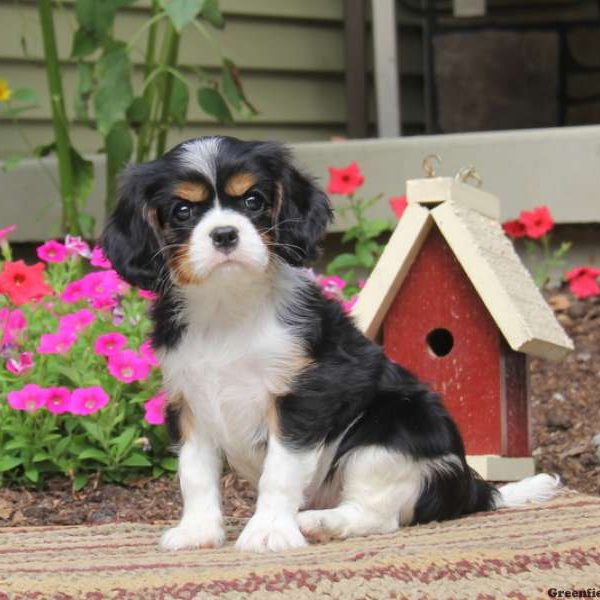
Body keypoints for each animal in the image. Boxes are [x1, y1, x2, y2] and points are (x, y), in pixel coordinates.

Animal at [102, 136, 556, 552]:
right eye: (182, 210)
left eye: (253, 200)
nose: (225, 234)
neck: (227, 307)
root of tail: (470, 485)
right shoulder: (188, 402)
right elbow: (194, 474)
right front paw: (198, 531)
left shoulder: (304, 397)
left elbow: (279, 472)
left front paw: (268, 531)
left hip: (391, 431)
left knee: (379, 514)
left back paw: (322, 523)